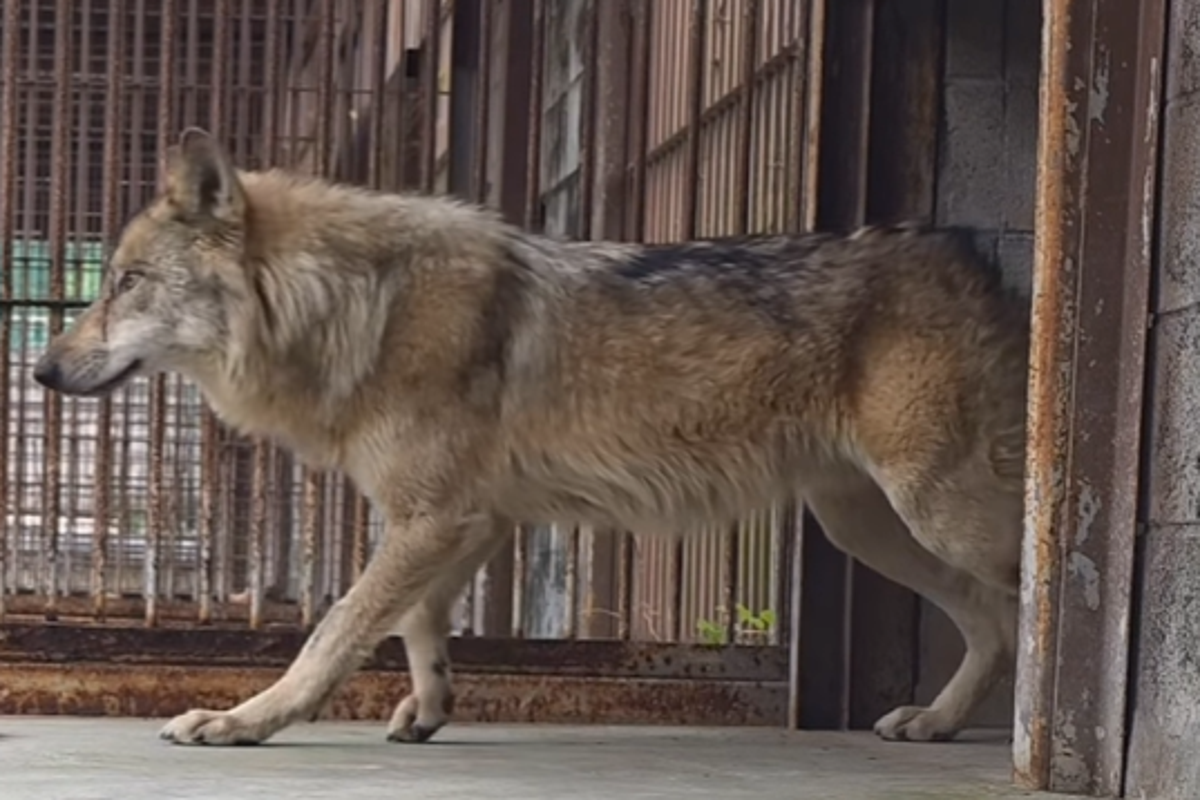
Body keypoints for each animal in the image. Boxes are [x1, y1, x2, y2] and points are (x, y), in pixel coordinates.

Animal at [34, 128, 1030, 747]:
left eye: (125, 283)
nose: (41, 370)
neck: (359, 304)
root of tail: (976, 259)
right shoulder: (472, 519)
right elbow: (419, 621)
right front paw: (428, 708)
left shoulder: (432, 519)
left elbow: (337, 630)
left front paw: (245, 720)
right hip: (864, 527)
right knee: (992, 618)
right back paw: (937, 724)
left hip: (935, 511)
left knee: (1029, 590)